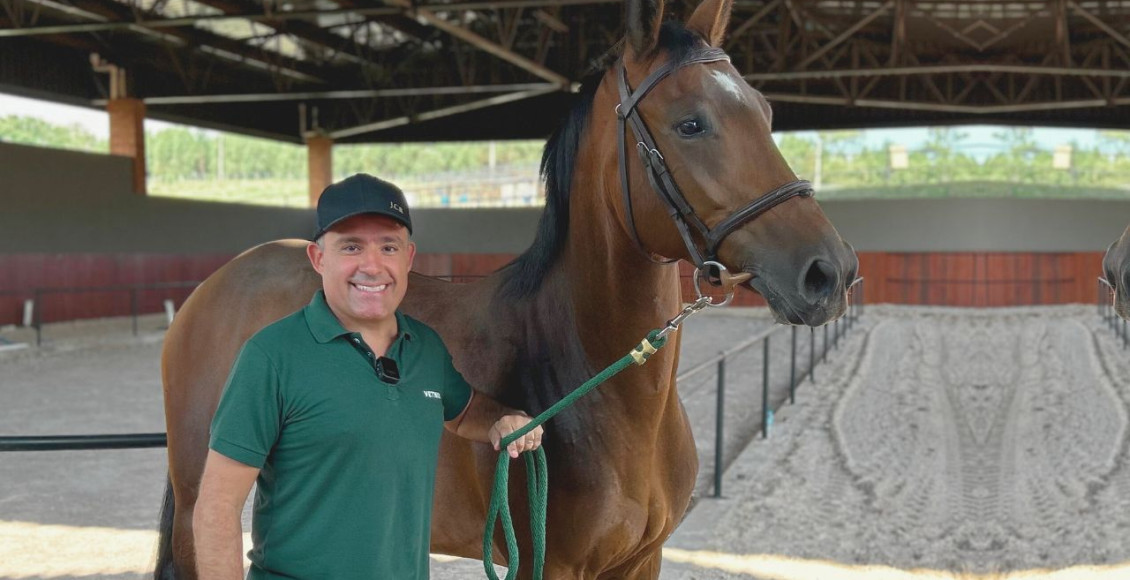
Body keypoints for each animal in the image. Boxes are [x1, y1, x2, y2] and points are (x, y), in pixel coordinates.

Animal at [150, 0, 854, 574]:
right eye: (690, 124)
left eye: (765, 112)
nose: (831, 271)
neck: (593, 381)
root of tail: (213, 290)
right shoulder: (549, 567)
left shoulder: (642, 561)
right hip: (200, 503)